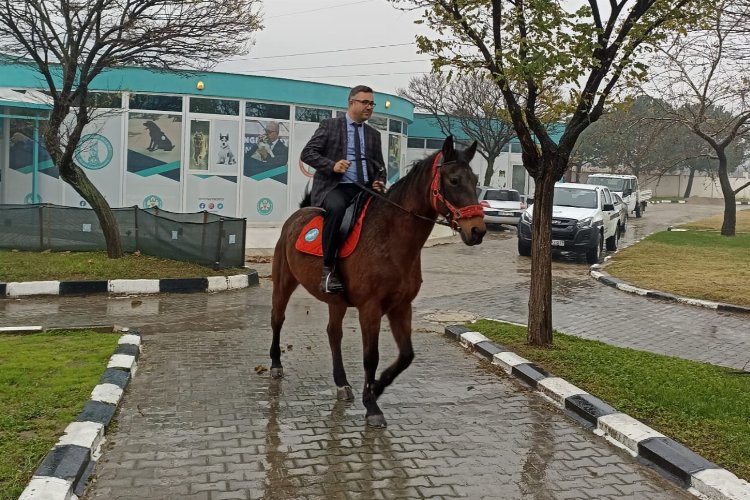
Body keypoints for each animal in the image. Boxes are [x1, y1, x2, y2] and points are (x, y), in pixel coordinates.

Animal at [270, 136, 488, 426]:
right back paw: (275, 365)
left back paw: (342, 383)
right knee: (278, 319)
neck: (390, 237)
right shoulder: (370, 309)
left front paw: (377, 387)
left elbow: (406, 355)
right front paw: (371, 404)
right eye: (453, 180)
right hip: (283, 283)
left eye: (474, 179)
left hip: (336, 301)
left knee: (333, 333)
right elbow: (370, 357)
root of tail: (297, 216)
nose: (477, 230)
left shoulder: (401, 307)